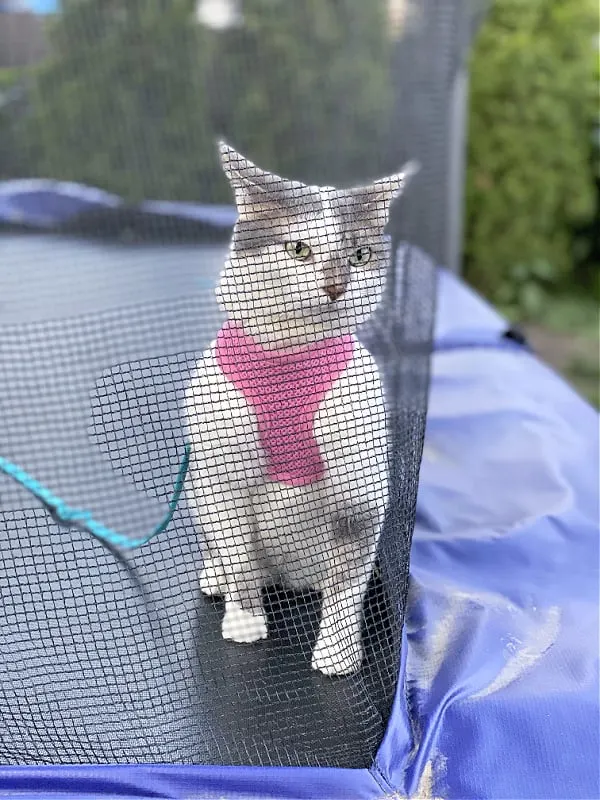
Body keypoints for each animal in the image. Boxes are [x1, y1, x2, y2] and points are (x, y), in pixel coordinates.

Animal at [185, 142, 414, 676]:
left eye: (359, 254)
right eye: (299, 250)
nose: (335, 287)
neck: (288, 357)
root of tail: (290, 579)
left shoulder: (359, 494)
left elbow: (346, 585)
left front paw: (336, 655)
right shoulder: (221, 477)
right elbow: (239, 558)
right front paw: (245, 623)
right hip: (196, 490)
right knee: (227, 553)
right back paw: (215, 577)